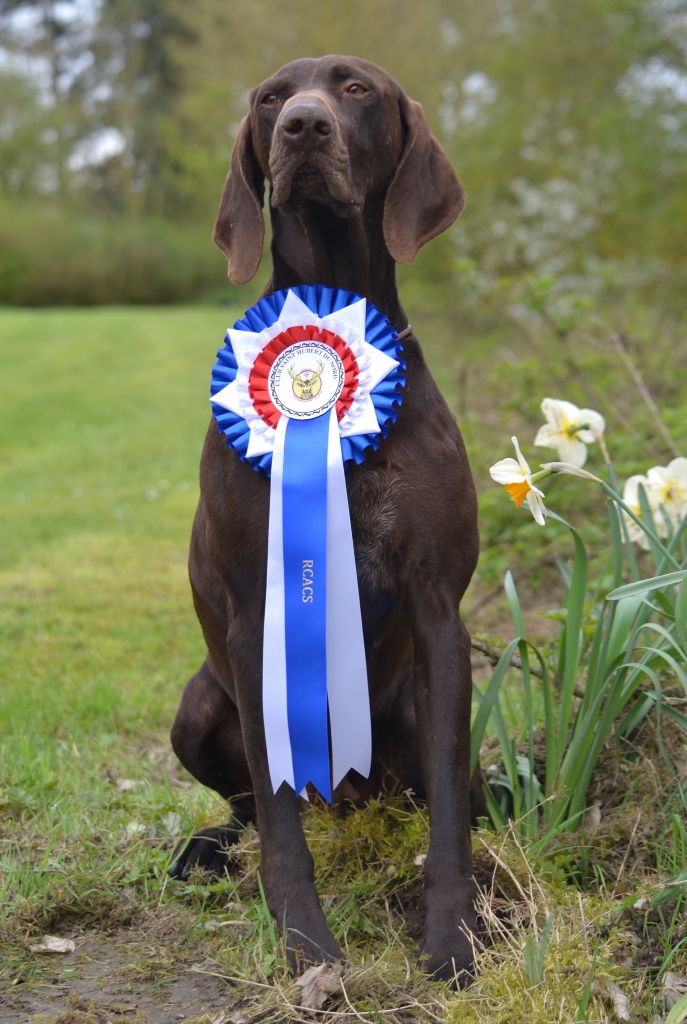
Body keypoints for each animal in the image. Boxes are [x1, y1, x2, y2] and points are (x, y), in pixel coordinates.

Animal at [170, 56, 481, 983]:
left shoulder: (439, 611)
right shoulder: (254, 622)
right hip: (198, 706)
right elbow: (277, 820)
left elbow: (448, 816)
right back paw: (208, 851)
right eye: (271, 97)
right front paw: (304, 940)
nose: (300, 128)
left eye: (355, 90)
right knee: (250, 810)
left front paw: (451, 935)